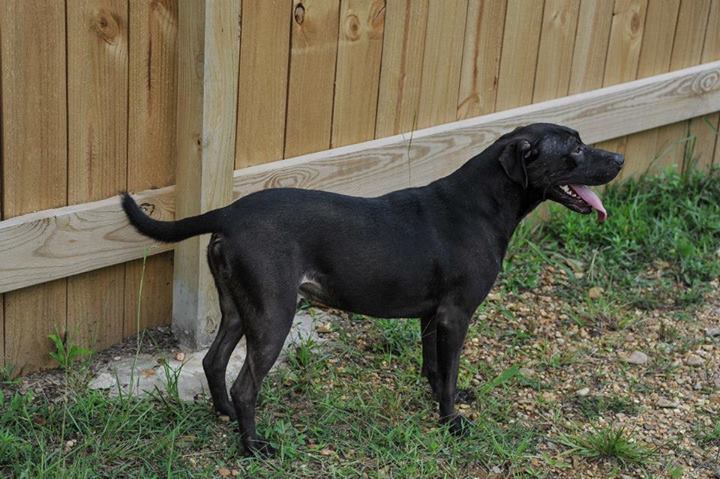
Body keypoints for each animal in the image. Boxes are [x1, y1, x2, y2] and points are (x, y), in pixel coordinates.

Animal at [121, 122, 620, 456]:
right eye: (575, 148)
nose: (619, 160)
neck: (480, 204)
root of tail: (228, 212)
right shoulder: (456, 315)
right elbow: (450, 370)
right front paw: (452, 422)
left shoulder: (432, 315)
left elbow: (435, 368)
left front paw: (443, 400)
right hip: (274, 314)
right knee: (246, 384)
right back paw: (254, 445)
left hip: (238, 308)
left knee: (213, 360)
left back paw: (224, 414)